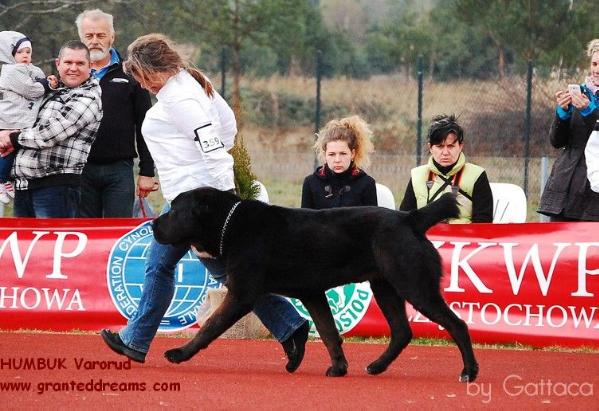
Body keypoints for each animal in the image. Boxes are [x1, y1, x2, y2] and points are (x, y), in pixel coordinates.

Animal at [152, 187, 480, 384]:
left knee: (456, 324)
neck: (229, 224)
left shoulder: (242, 294)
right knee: (401, 331)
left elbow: (210, 327)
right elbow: (328, 332)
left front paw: (179, 353)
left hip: (413, 283)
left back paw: (469, 371)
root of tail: (411, 219)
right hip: (385, 286)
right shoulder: (312, 294)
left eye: (175, 211)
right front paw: (338, 367)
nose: (154, 224)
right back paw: (377, 366)